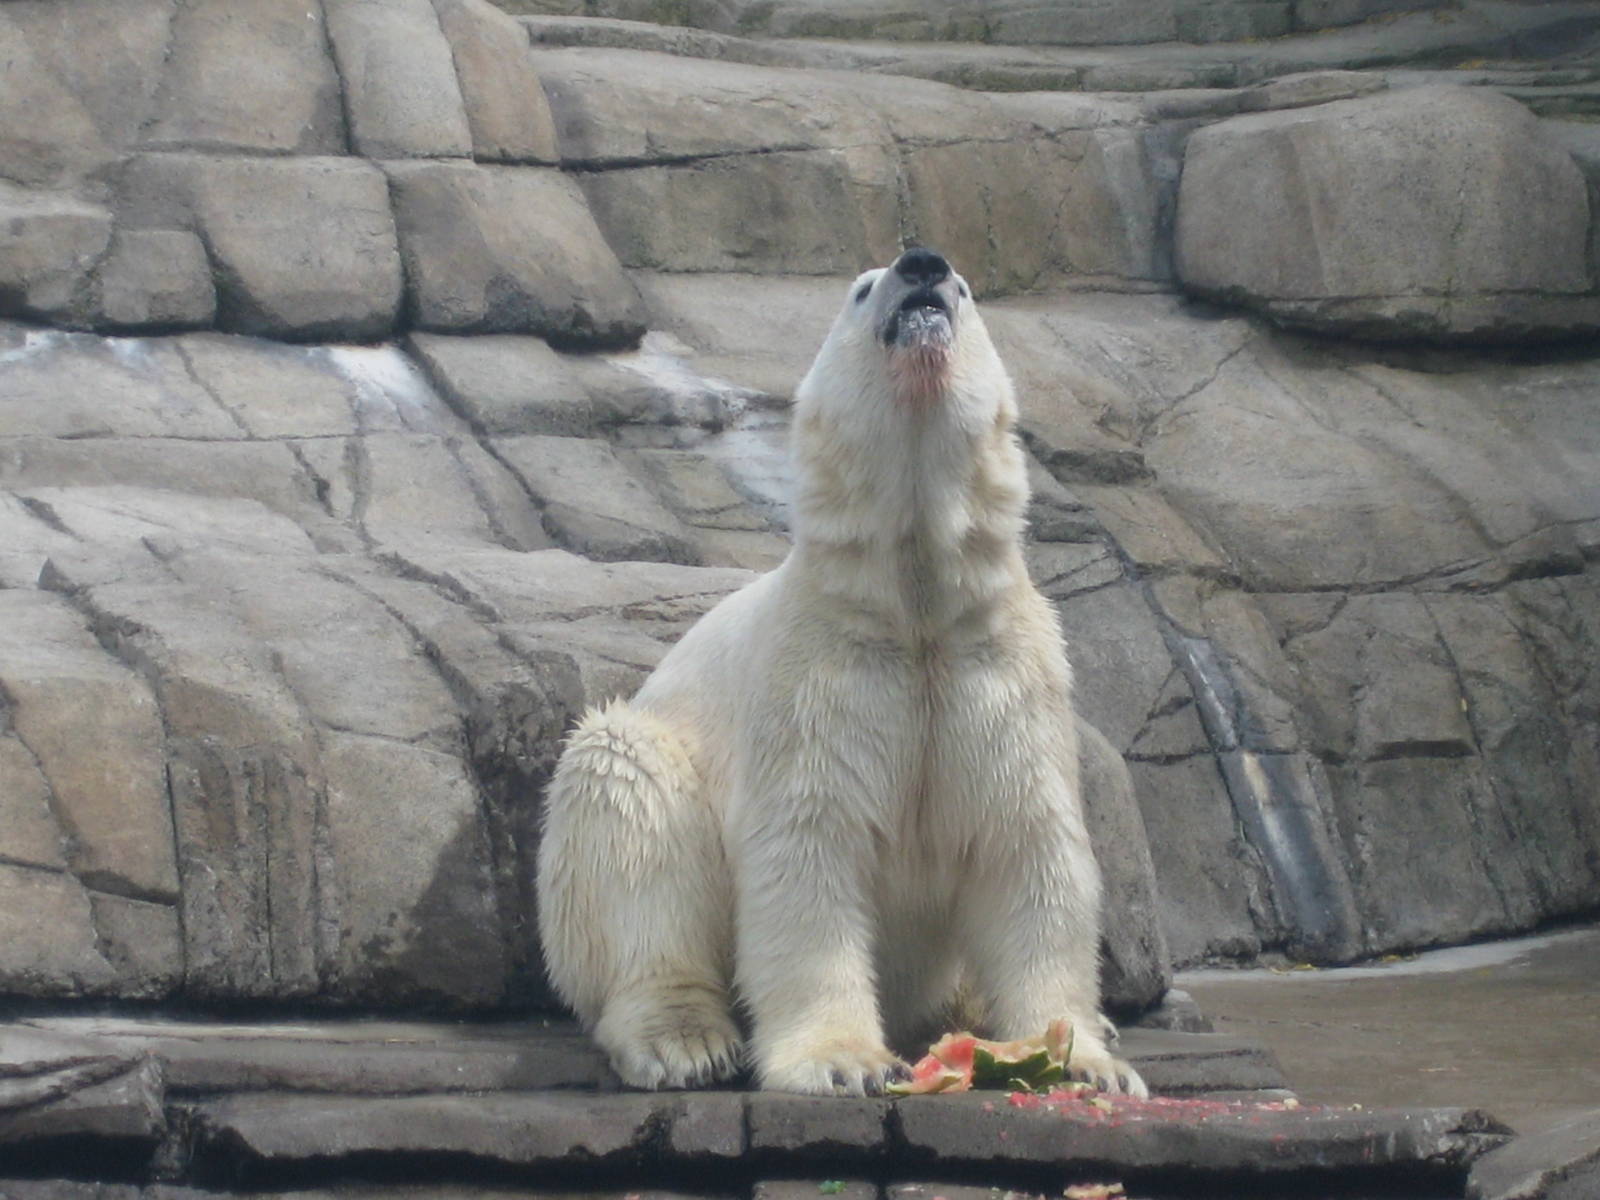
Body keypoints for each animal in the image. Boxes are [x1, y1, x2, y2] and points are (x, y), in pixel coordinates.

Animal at [536, 248, 1145, 1098]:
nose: (922, 264)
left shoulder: (1000, 671)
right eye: (862, 289)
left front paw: (1084, 1059)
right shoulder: (817, 675)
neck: (913, 605)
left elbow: (1027, 848)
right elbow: (807, 849)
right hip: (639, 775)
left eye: (965, 289)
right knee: (629, 801)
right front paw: (841, 1063)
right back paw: (684, 1040)